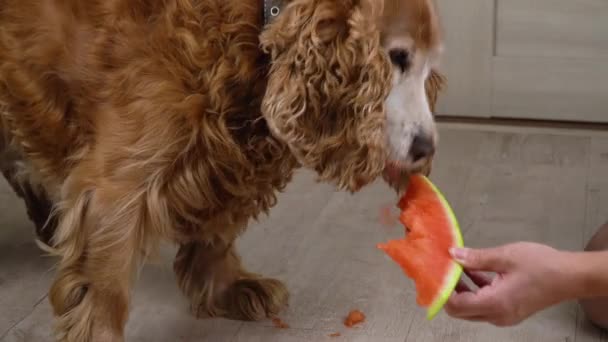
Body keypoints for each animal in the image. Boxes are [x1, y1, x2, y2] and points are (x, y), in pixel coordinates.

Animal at [1, 0, 446, 340]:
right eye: (398, 58)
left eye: (428, 67)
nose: (427, 148)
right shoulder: (117, 184)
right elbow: (107, 282)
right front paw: (100, 331)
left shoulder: (223, 161)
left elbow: (215, 235)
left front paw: (229, 287)